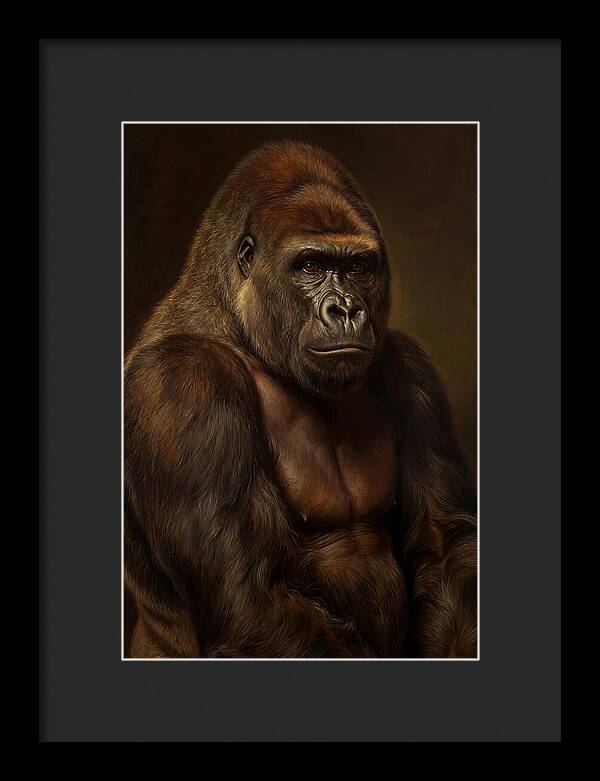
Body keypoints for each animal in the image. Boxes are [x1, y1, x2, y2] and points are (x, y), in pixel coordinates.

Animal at [124, 140, 477, 658]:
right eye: (310, 265)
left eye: (356, 267)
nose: (346, 309)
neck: (239, 326)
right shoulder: (183, 382)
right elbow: (248, 596)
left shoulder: (411, 370)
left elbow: (443, 543)